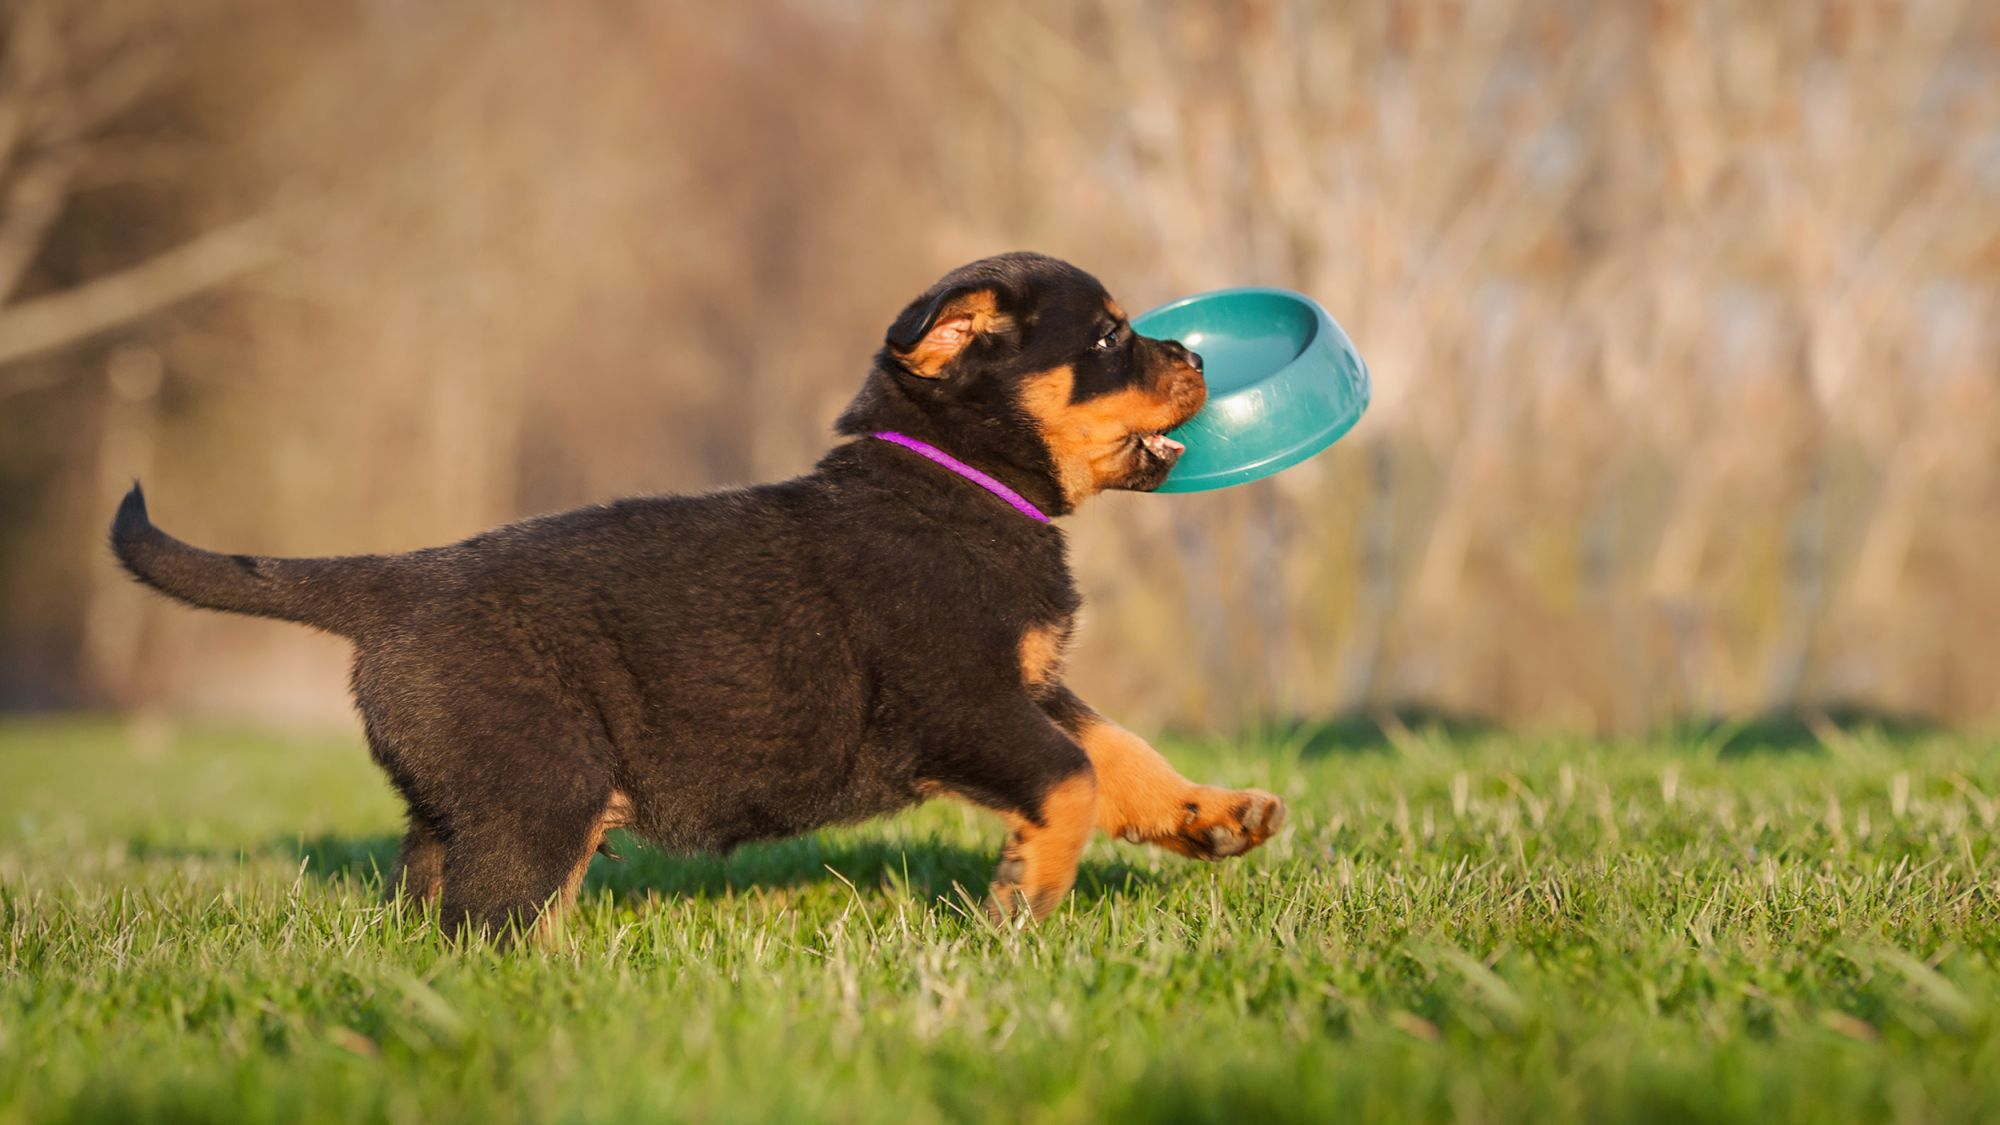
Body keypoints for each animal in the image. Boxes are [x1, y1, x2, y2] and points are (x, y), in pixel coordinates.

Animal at [109, 252, 1288, 936]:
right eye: (1109, 336)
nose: (1192, 351)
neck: (957, 481)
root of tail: (403, 579)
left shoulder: (1028, 685)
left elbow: (1119, 752)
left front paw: (1214, 815)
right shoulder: (960, 699)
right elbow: (1071, 778)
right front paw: (1025, 896)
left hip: (472, 793)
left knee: (431, 898)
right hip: (544, 782)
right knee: (492, 921)